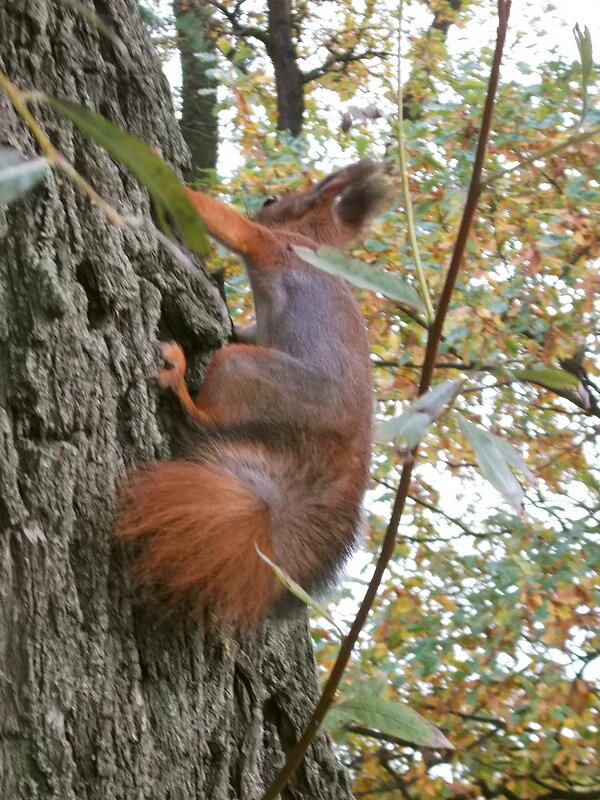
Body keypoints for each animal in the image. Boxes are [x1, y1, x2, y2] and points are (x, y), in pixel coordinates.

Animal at [116, 161, 390, 624]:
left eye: (272, 201)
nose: (261, 202)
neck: (313, 242)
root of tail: (349, 444)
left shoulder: (270, 244)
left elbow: (230, 225)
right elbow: (251, 329)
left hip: (243, 368)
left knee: (201, 418)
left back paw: (177, 378)